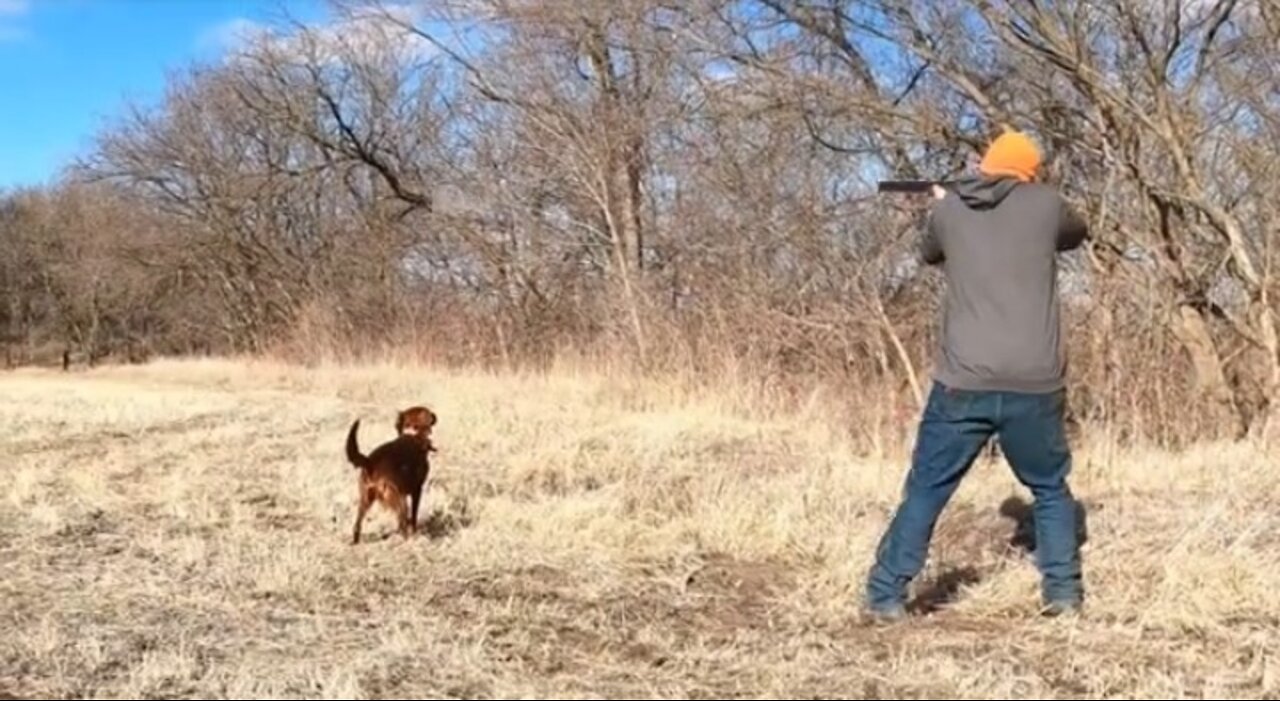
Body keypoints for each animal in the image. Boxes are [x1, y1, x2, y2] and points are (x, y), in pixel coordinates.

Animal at [348, 404, 437, 547]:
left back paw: (356, 541)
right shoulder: (417, 490)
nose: (435, 416)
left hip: (365, 498)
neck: (413, 435)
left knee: (357, 524)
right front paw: (414, 530)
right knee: (403, 519)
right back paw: (408, 539)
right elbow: (413, 516)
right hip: (399, 499)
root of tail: (370, 462)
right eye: (429, 413)